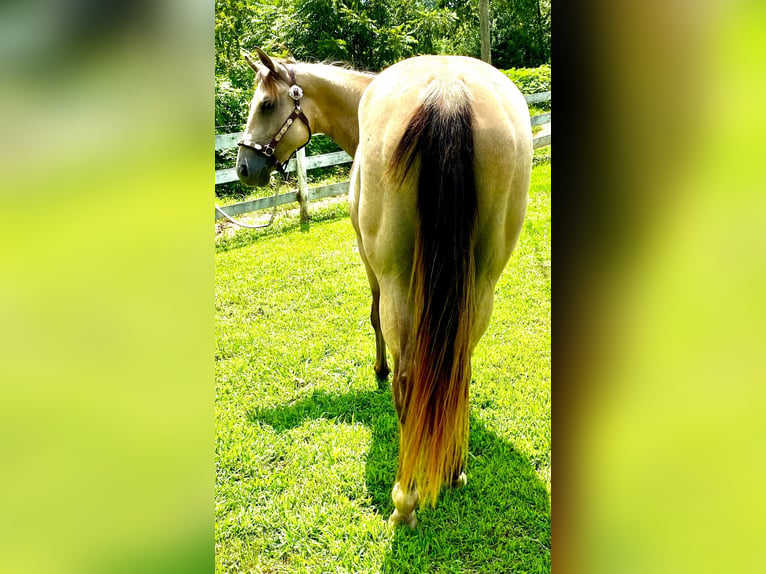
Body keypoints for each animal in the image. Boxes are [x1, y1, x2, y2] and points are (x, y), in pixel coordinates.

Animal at [236, 48, 536, 532]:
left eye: (265, 104)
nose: (244, 167)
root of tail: (447, 90)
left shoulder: (368, 258)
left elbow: (374, 318)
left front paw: (378, 369)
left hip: (399, 280)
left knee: (410, 376)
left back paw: (405, 498)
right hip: (482, 281)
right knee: (459, 363)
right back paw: (454, 468)